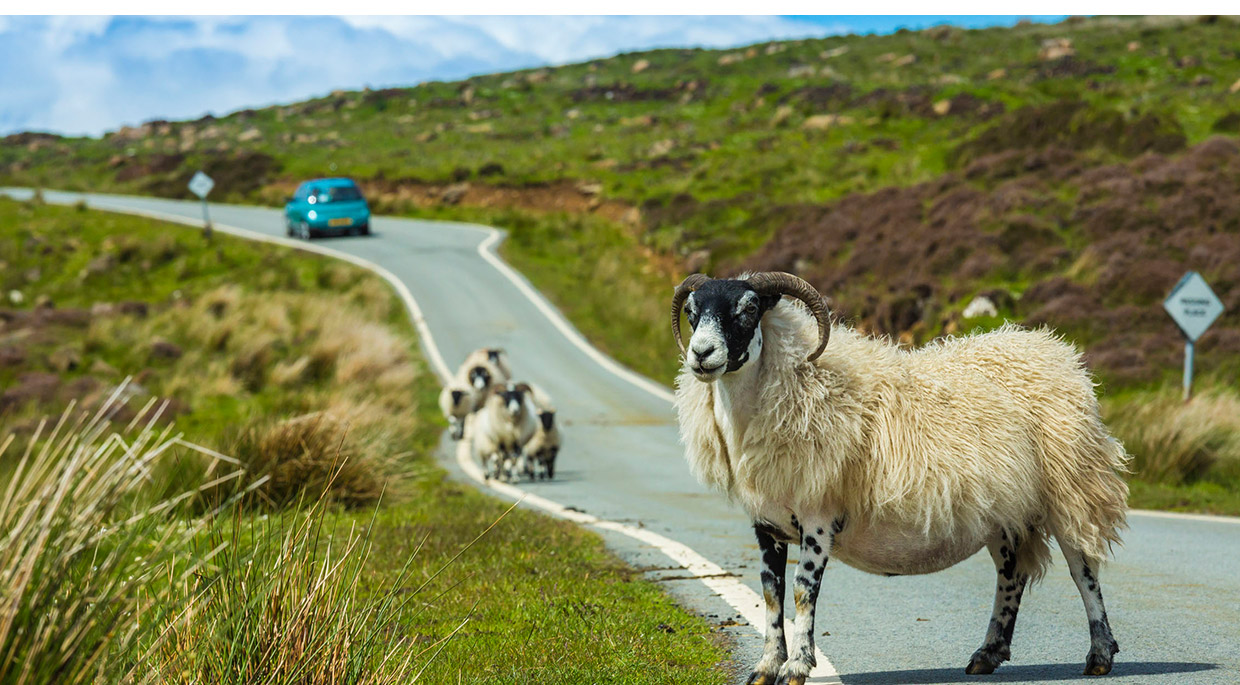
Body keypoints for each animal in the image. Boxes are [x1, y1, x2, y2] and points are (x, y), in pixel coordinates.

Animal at [674, 270, 1130, 680]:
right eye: (693, 312)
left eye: (749, 308)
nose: (701, 354)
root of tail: (1051, 349)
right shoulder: (766, 521)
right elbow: (772, 593)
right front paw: (766, 667)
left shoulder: (818, 517)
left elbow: (803, 592)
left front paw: (797, 667)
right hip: (1005, 512)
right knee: (1011, 574)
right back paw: (987, 654)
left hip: (1068, 486)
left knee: (1083, 570)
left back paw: (1100, 655)